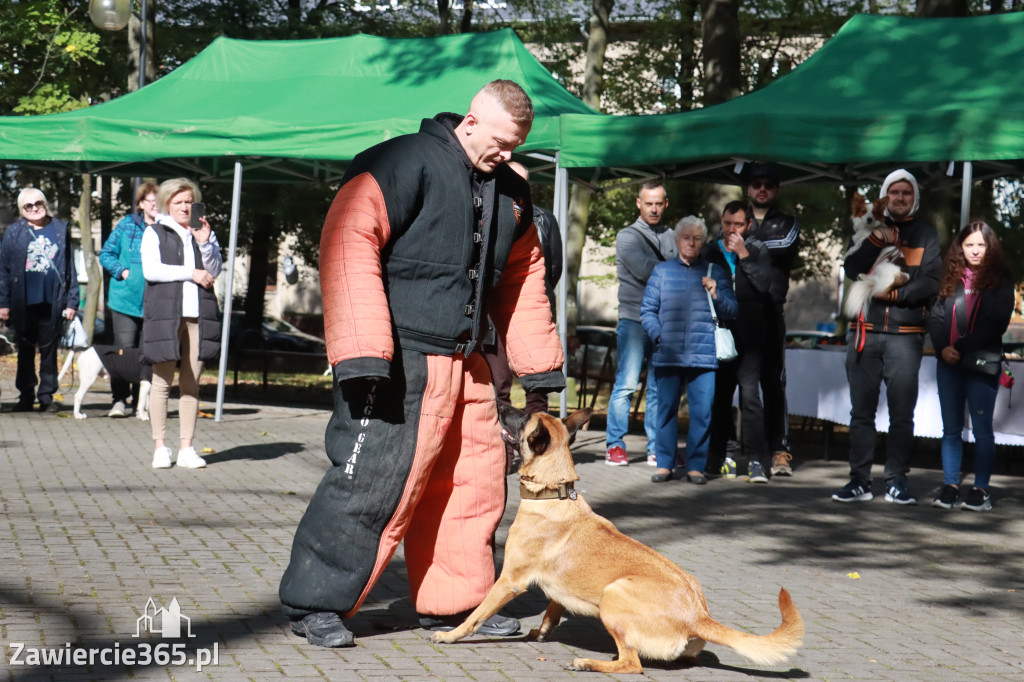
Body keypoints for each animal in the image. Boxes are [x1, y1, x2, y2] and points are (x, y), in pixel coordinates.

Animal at [428, 401, 802, 671]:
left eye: (522, 419)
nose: (501, 404)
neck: (554, 494)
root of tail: (699, 617)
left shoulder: (509, 582)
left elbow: (476, 615)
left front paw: (450, 635)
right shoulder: (554, 590)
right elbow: (552, 609)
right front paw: (542, 632)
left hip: (613, 595)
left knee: (632, 664)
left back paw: (587, 662)